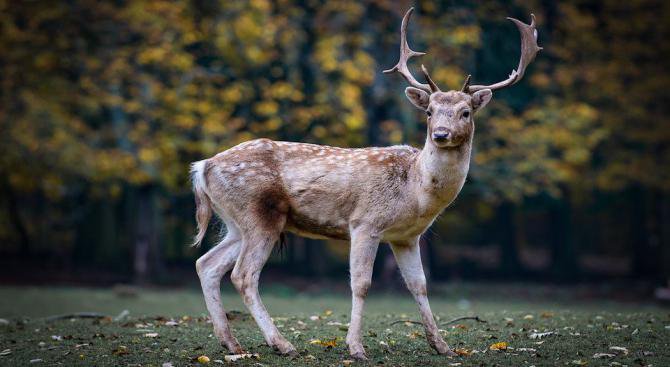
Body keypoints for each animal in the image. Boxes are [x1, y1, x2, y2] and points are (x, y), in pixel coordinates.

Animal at [192, 7, 544, 360]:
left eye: (466, 112)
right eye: (429, 111)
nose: (440, 134)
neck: (415, 192)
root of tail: (202, 166)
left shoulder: (407, 237)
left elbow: (419, 284)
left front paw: (442, 346)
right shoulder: (365, 223)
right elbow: (361, 284)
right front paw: (356, 347)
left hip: (236, 222)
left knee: (206, 264)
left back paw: (231, 343)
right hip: (259, 214)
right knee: (243, 275)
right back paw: (282, 344)